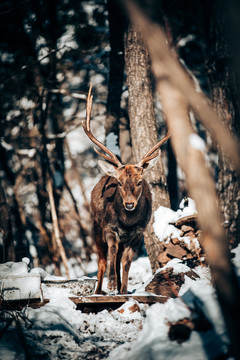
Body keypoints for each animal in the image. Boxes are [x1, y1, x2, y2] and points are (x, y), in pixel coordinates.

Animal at [83, 86, 171, 294]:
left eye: (139, 182)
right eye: (120, 183)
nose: (129, 204)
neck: (126, 223)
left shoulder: (138, 233)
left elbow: (126, 262)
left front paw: (123, 290)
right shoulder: (109, 227)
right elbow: (112, 252)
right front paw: (111, 284)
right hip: (95, 225)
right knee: (102, 260)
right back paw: (99, 290)